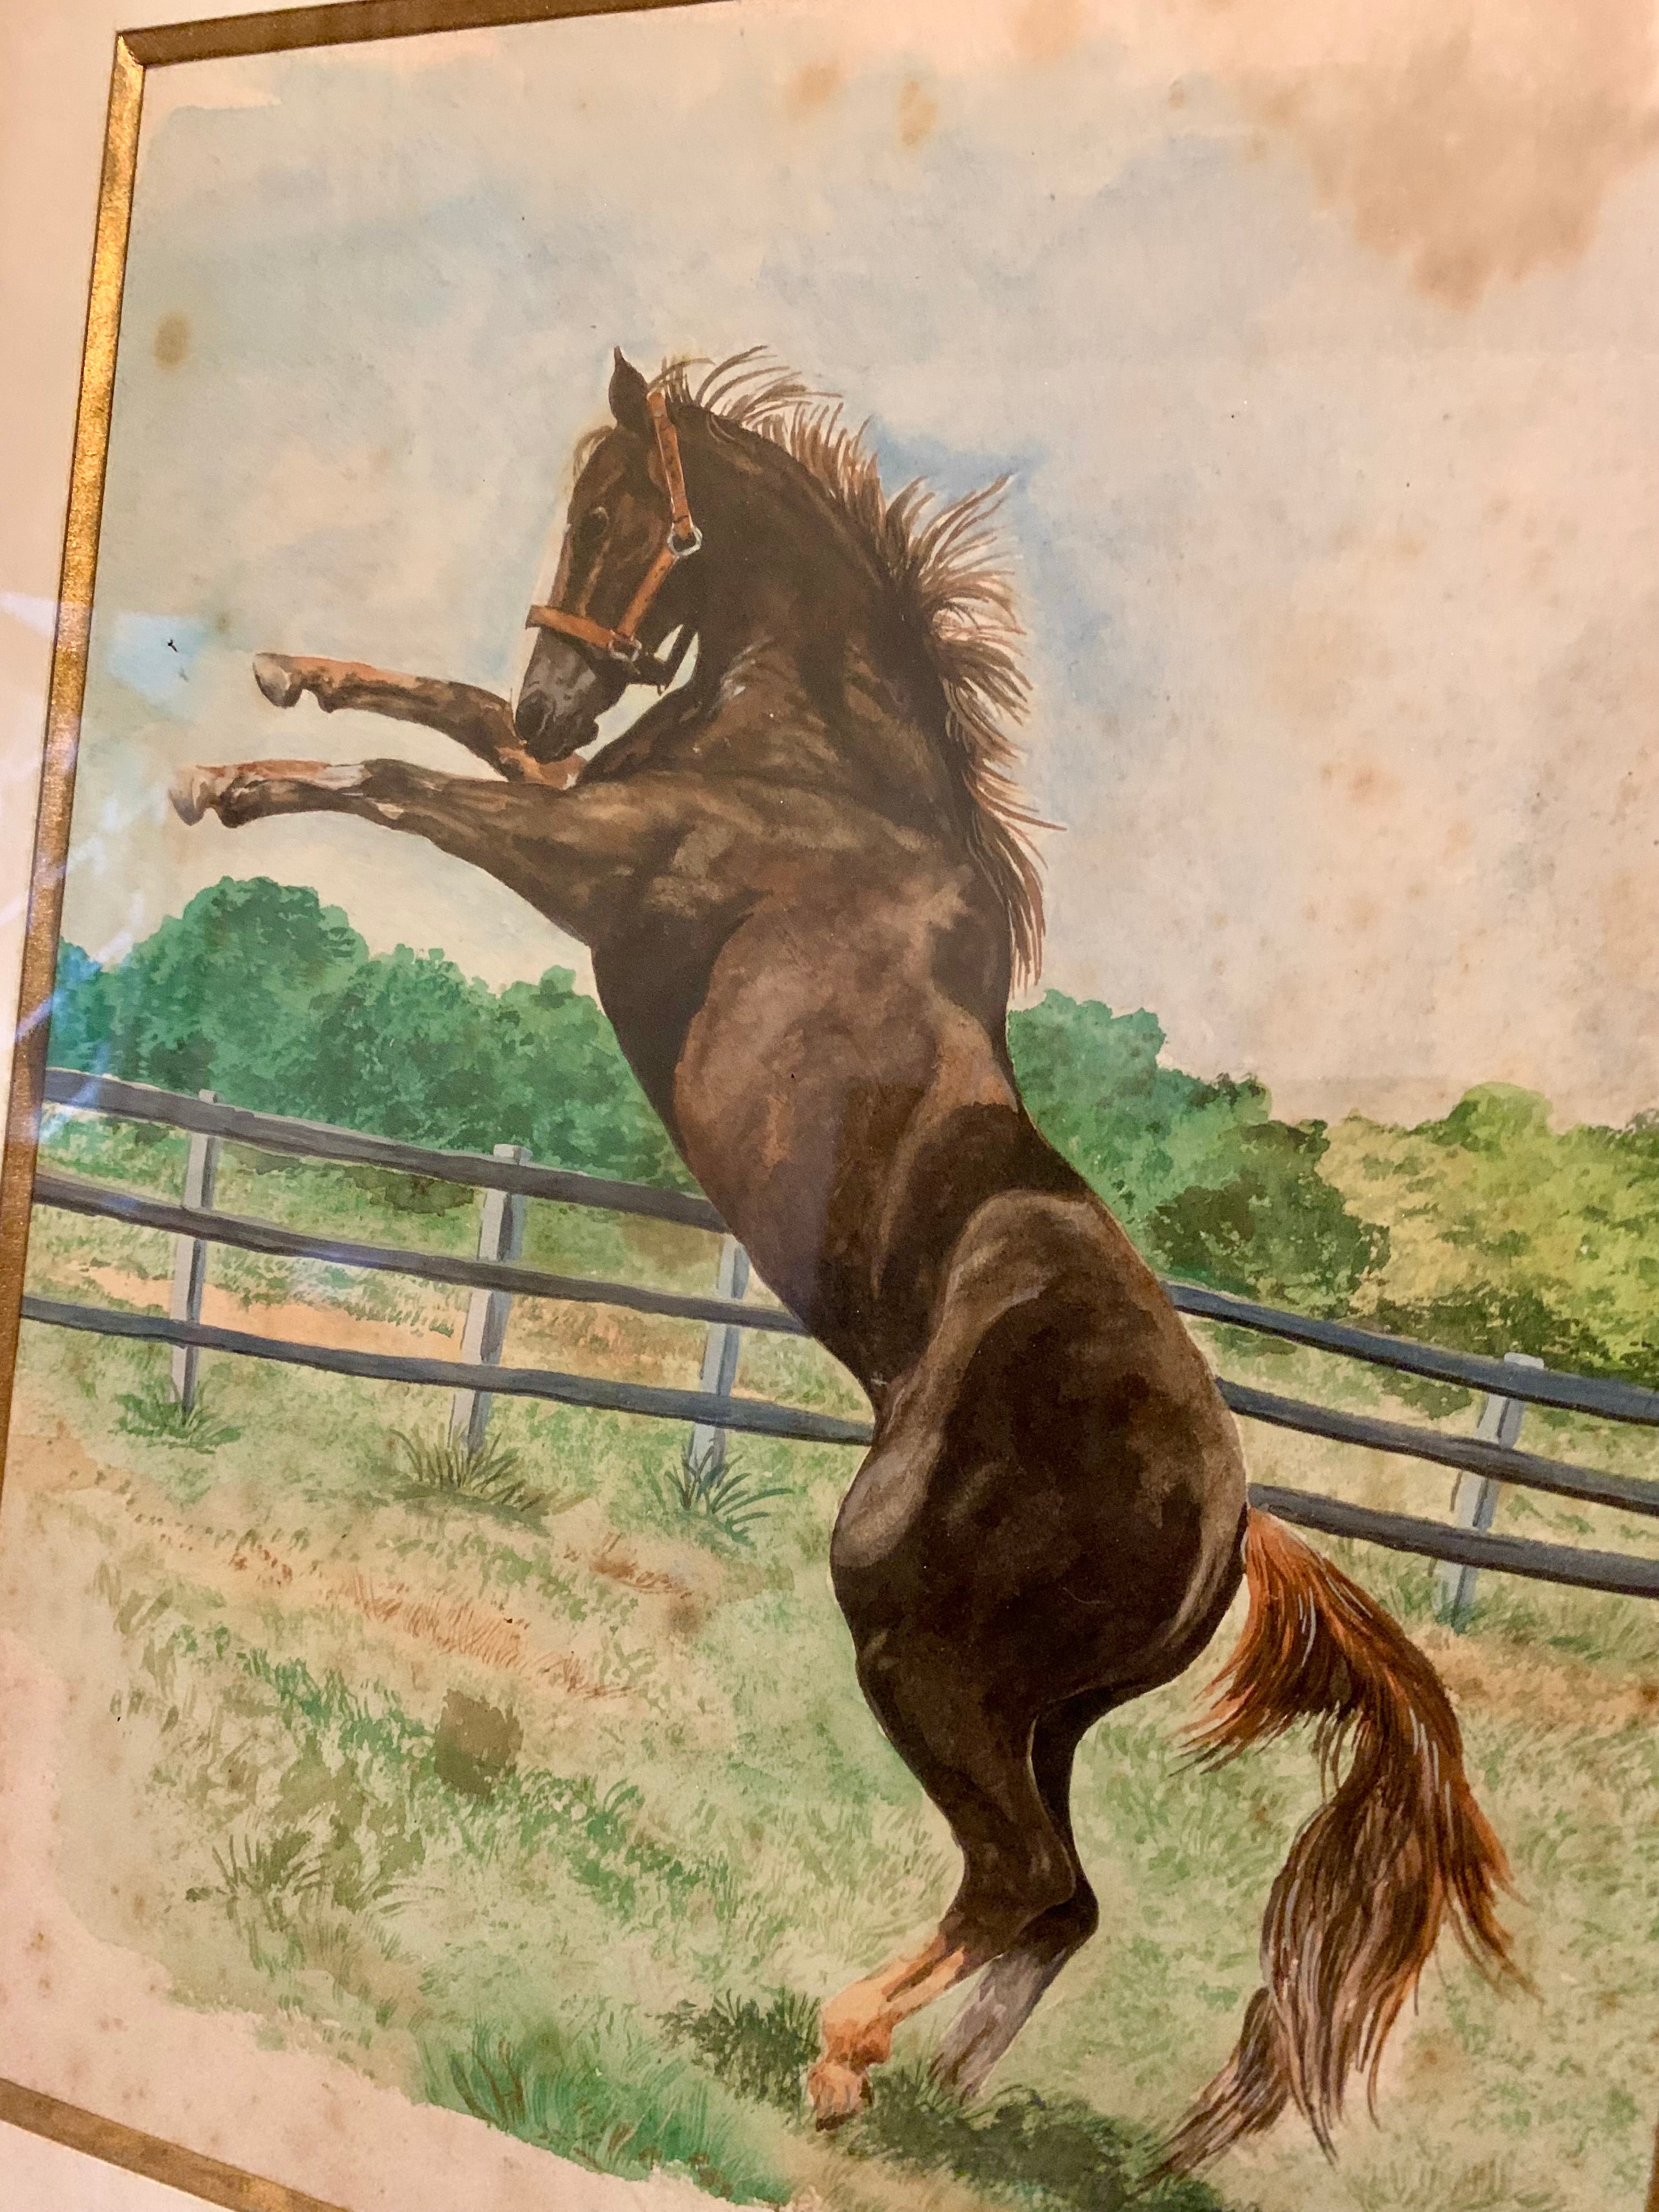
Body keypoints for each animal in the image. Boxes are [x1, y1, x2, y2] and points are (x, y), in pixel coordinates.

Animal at [171, 348, 1516, 2168]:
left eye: (629, 519)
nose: (560, 699)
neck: (813, 772)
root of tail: (1237, 1525)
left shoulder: (590, 856)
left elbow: (415, 791)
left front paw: (228, 785)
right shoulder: (574, 798)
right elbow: (439, 719)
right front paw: (297, 676)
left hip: (919, 1652)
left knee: (1021, 1877)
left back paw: (842, 2053)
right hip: (1038, 1710)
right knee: (1059, 1900)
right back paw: (927, 2087)